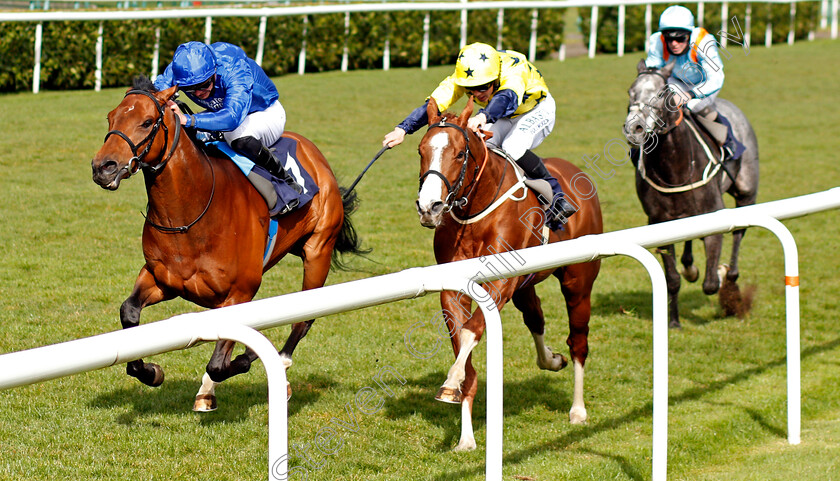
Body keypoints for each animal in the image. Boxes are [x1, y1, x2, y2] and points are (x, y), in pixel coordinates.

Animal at [92, 80, 368, 410]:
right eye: (110, 118)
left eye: (147, 122)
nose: (103, 167)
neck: (190, 215)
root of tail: (313, 152)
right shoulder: (163, 280)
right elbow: (129, 313)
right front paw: (151, 371)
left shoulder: (240, 293)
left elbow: (220, 363)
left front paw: (248, 356)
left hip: (318, 251)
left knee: (303, 320)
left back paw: (281, 367)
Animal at [416, 97, 600, 450]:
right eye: (420, 150)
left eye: (458, 154)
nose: (429, 207)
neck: (474, 211)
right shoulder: (453, 289)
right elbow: (462, 342)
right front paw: (465, 434)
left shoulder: (501, 282)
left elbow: (472, 331)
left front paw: (452, 379)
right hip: (526, 285)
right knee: (535, 317)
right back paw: (551, 360)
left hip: (578, 281)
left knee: (578, 342)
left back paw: (579, 409)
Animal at [624, 60, 760, 328]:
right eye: (630, 92)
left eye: (660, 93)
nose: (633, 128)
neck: (674, 169)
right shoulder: (659, 222)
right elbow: (673, 278)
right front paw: (674, 321)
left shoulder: (714, 216)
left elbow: (710, 283)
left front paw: (720, 274)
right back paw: (690, 267)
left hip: (746, 193)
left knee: (739, 233)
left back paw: (731, 276)